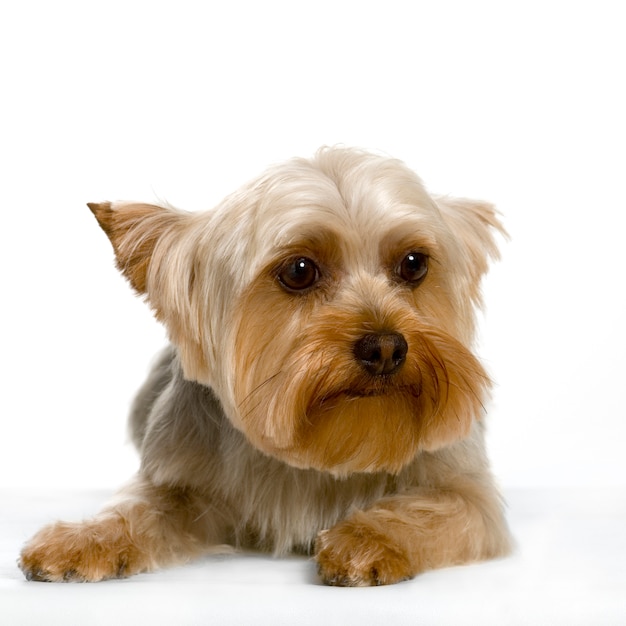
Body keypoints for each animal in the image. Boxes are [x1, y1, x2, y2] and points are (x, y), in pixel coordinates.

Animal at [19, 147, 510, 584]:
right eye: (299, 271)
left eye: (413, 264)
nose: (387, 347)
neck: (322, 453)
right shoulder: (180, 479)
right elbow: (140, 509)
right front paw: (82, 539)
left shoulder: (469, 497)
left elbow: (436, 509)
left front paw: (367, 540)